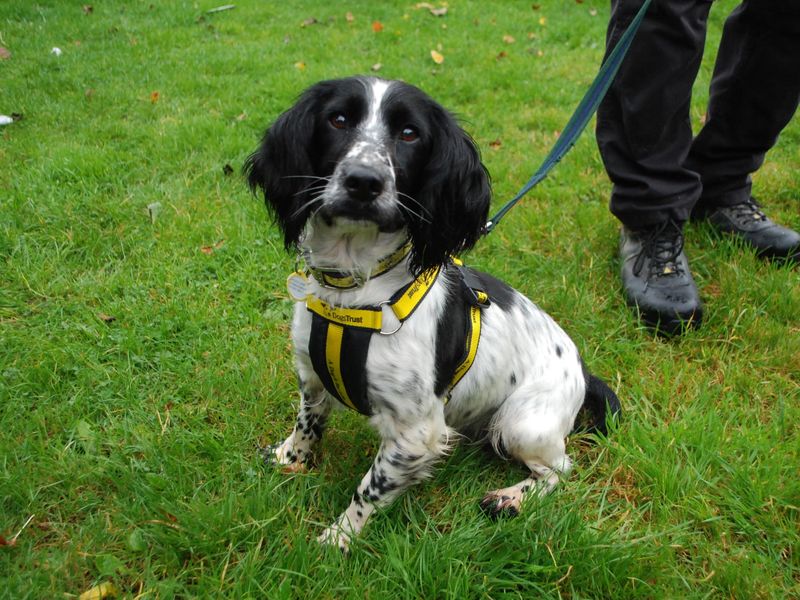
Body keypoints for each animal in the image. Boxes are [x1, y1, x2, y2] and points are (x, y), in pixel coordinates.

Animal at [247, 76, 620, 552]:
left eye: (410, 134)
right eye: (338, 120)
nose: (363, 182)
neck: (355, 290)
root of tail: (584, 370)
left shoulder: (415, 431)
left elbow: (370, 486)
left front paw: (340, 537)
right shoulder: (311, 377)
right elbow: (307, 424)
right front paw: (290, 460)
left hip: (522, 423)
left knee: (559, 469)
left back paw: (511, 498)